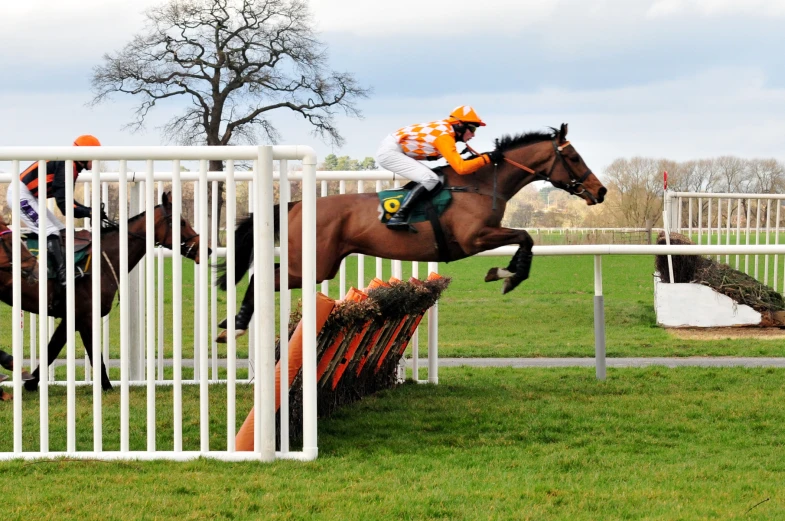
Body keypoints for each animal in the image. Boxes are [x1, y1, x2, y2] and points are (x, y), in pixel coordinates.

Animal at [0, 191, 205, 390]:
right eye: (181, 222)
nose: (207, 250)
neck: (101, 262)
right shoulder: (85, 317)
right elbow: (94, 356)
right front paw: (107, 387)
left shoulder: (72, 318)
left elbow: (53, 349)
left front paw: (31, 382)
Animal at [214, 122, 608, 342]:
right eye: (574, 157)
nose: (600, 190)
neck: (481, 183)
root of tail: (295, 205)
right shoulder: (474, 238)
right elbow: (525, 236)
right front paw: (507, 274)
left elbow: (525, 238)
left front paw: (506, 272)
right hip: (313, 264)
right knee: (266, 276)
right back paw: (235, 324)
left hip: (318, 264)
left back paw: (230, 324)